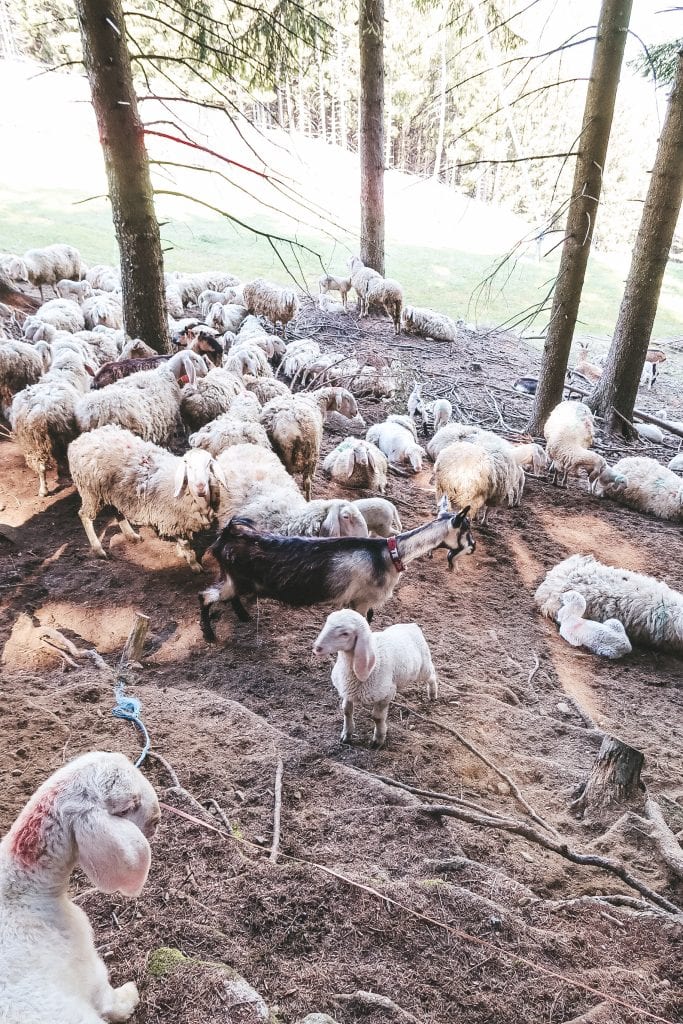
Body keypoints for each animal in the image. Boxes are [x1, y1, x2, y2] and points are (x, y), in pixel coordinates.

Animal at [0, 751, 159, 1024]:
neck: (21, 891)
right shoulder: (87, 963)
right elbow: (108, 998)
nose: (157, 818)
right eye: (126, 807)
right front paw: (129, 996)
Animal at [10, 350, 95, 496]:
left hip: (30, 442)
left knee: (39, 466)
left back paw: (42, 490)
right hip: (57, 436)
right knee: (55, 462)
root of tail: (37, 409)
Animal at [68, 425, 228, 569]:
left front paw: (182, 554)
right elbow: (186, 544)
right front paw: (193, 563)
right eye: (187, 465)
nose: (200, 486)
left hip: (116, 491)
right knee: (84, 515)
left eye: (209, 464)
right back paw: (98, 550)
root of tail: (83, 438)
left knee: (117, 511)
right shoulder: (175, 520)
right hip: (91, 491)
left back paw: (131, 535)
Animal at [199, 503, 475, 640]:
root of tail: (228, 534)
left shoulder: (358, 600)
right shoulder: (363, 599)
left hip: (234, 578)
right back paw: (210, 635)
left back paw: (243, 616)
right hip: (238, 579)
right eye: (466, 530)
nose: (473, 547)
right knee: (205, 596)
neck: (389, 554)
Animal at [313, 609, 437, 747]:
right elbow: (346, 711)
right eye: (327, 623)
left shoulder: (385, 695)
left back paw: (432, 693)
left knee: (432, 675)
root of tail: (412, 626)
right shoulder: (347, 690)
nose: (317, 647)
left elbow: (377, 718)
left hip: (423, 667)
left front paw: (378, 739)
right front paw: (347, 734)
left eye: (345, 634)